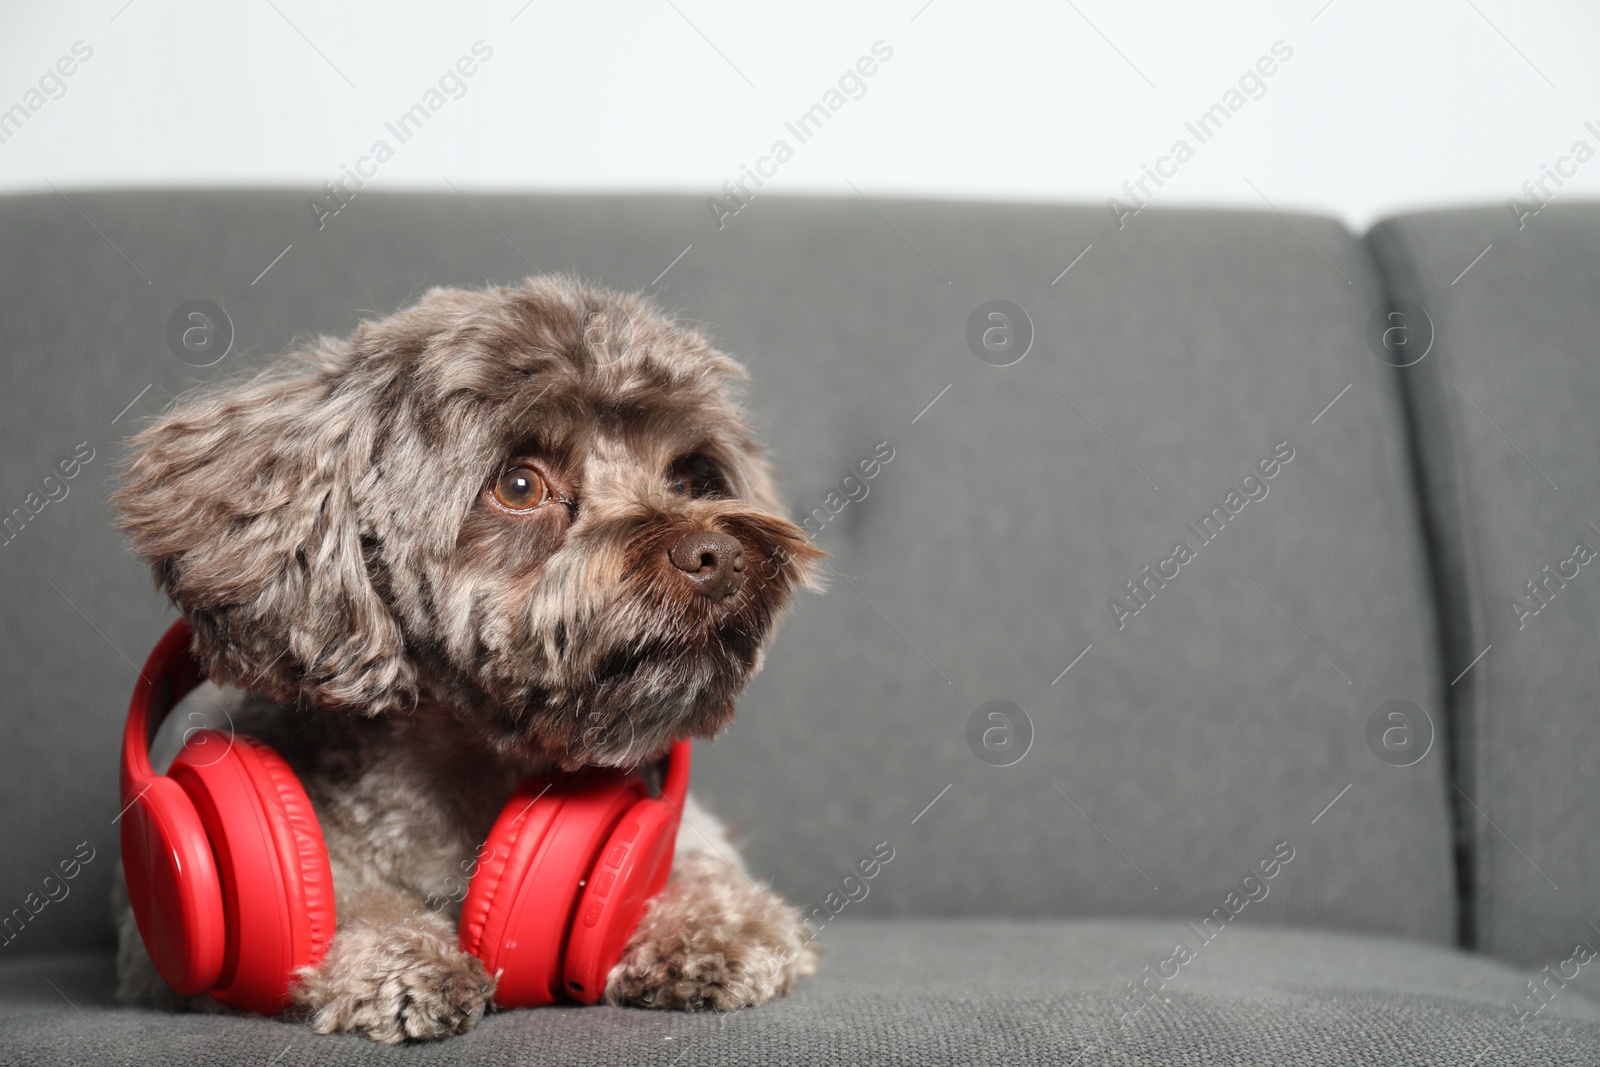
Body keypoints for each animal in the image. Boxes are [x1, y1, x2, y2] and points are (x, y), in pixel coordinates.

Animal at [109, 273, 825, 1043]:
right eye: (519, 485)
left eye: (691, 478)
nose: (718, 555)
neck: (478, 765)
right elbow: (331, 896)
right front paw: (396, 952)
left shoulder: (682, 827)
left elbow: (697, 853)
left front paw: (711, 924)